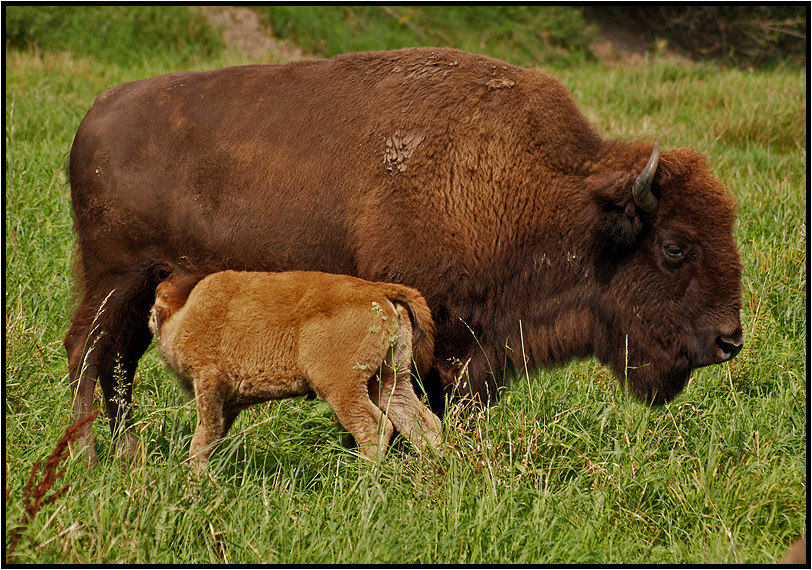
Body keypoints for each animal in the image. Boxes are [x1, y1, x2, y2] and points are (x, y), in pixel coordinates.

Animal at [151, 268, 444, 468]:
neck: (186, 313)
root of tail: (378, 290)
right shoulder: (229, 403)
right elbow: (214, 437)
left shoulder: (209, 383)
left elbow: (203, 438)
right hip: (389, 379)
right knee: (423, 423)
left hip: (342, 387)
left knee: (374, 426)